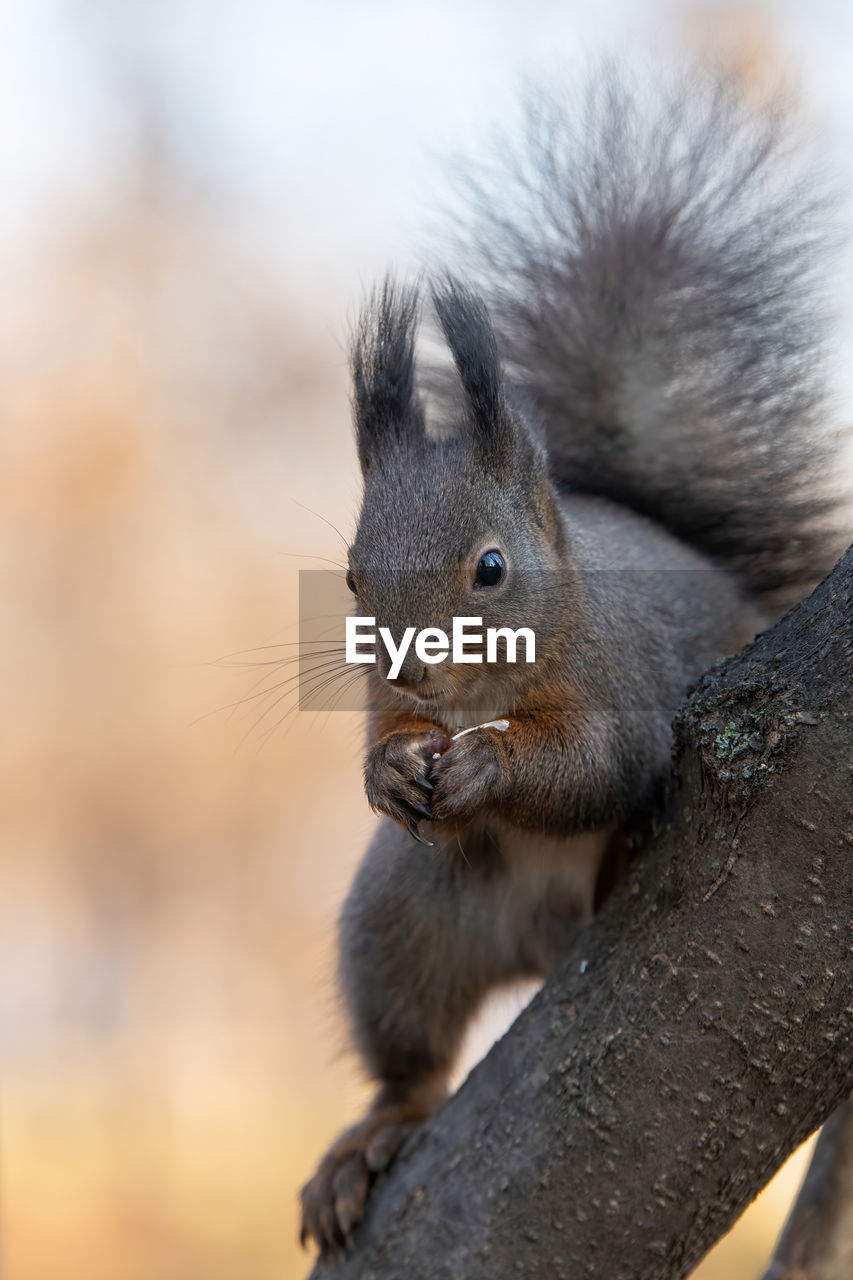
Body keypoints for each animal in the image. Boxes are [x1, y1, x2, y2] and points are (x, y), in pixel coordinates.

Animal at [295, 64, 840, 1254]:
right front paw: (389, 769)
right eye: (351, 576)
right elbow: (381, 742)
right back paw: (368, 1142)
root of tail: (540, 941)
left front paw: (494, 766)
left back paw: (623, 851)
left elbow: (598, 762)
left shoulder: (621, 683)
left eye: (490, 568)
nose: (408, 667)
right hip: (401, 919)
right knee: (412, 1056)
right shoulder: (387, 707)